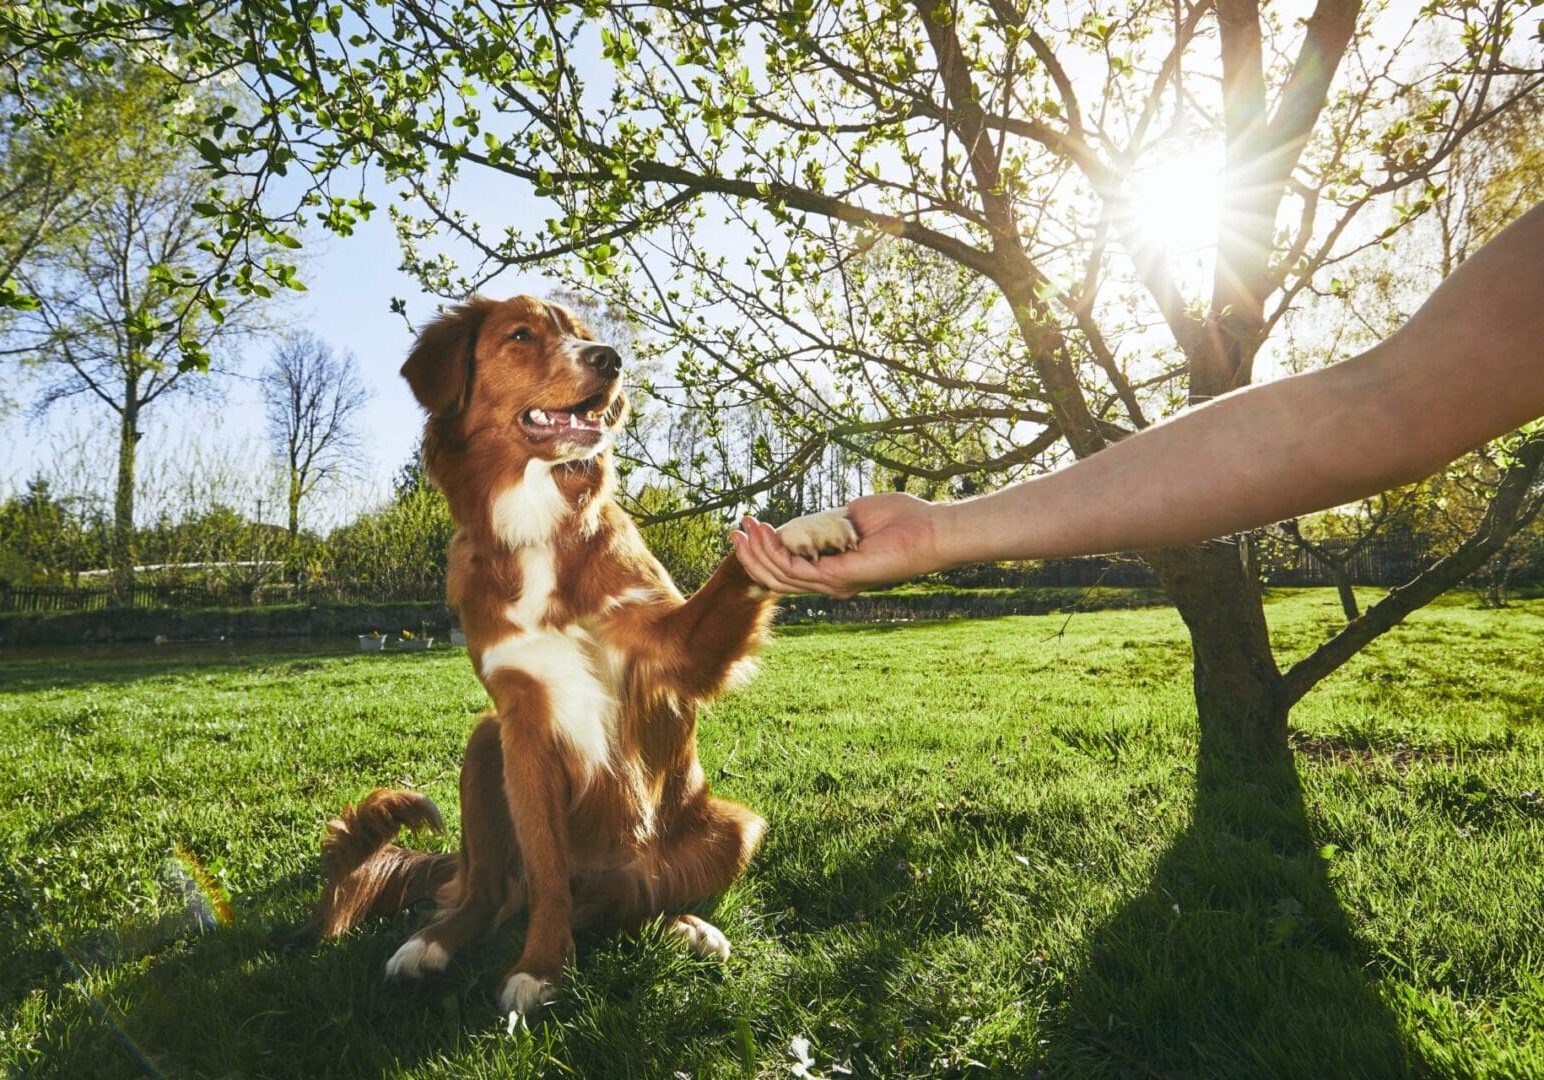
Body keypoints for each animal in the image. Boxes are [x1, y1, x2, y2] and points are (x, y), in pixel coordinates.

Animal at [313, 293, 858, 1019]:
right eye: (521, 336)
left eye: (584, 334)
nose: (611, 359)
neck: (538, 524)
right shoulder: (522, 720)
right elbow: (547, 874)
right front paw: (541, 967)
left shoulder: (673, 651)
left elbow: (737, 565)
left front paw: (803, 531)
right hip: (485, 745)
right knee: (489, 892)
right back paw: (431, 944)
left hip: (733, 829)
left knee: (630, 907)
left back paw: (687, 927)